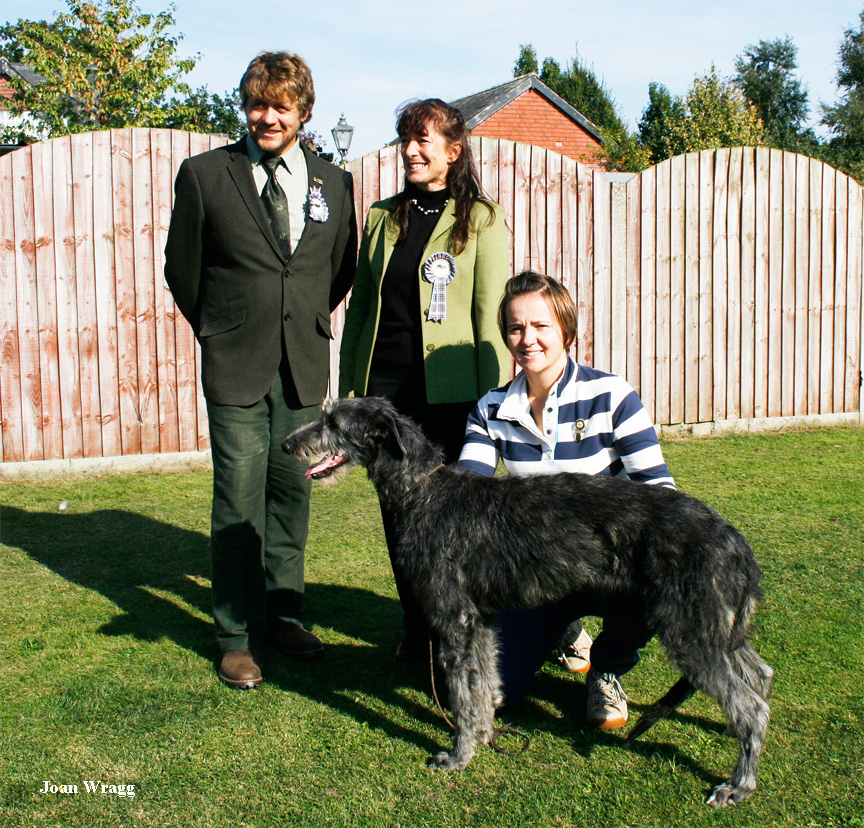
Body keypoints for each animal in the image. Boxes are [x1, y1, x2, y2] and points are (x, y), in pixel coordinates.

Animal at [286, 398, 776, 804]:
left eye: (333, 422)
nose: (290, 443)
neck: (423, 490)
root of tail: (733, 539)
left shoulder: (454, 619)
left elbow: (461, 693)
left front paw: (458, 754)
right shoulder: (479, 622)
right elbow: (482, 685)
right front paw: (483, 736)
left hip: (689, 632)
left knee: (753, 707)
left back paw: (739, 784)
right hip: (718, 627)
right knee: (761, 675)